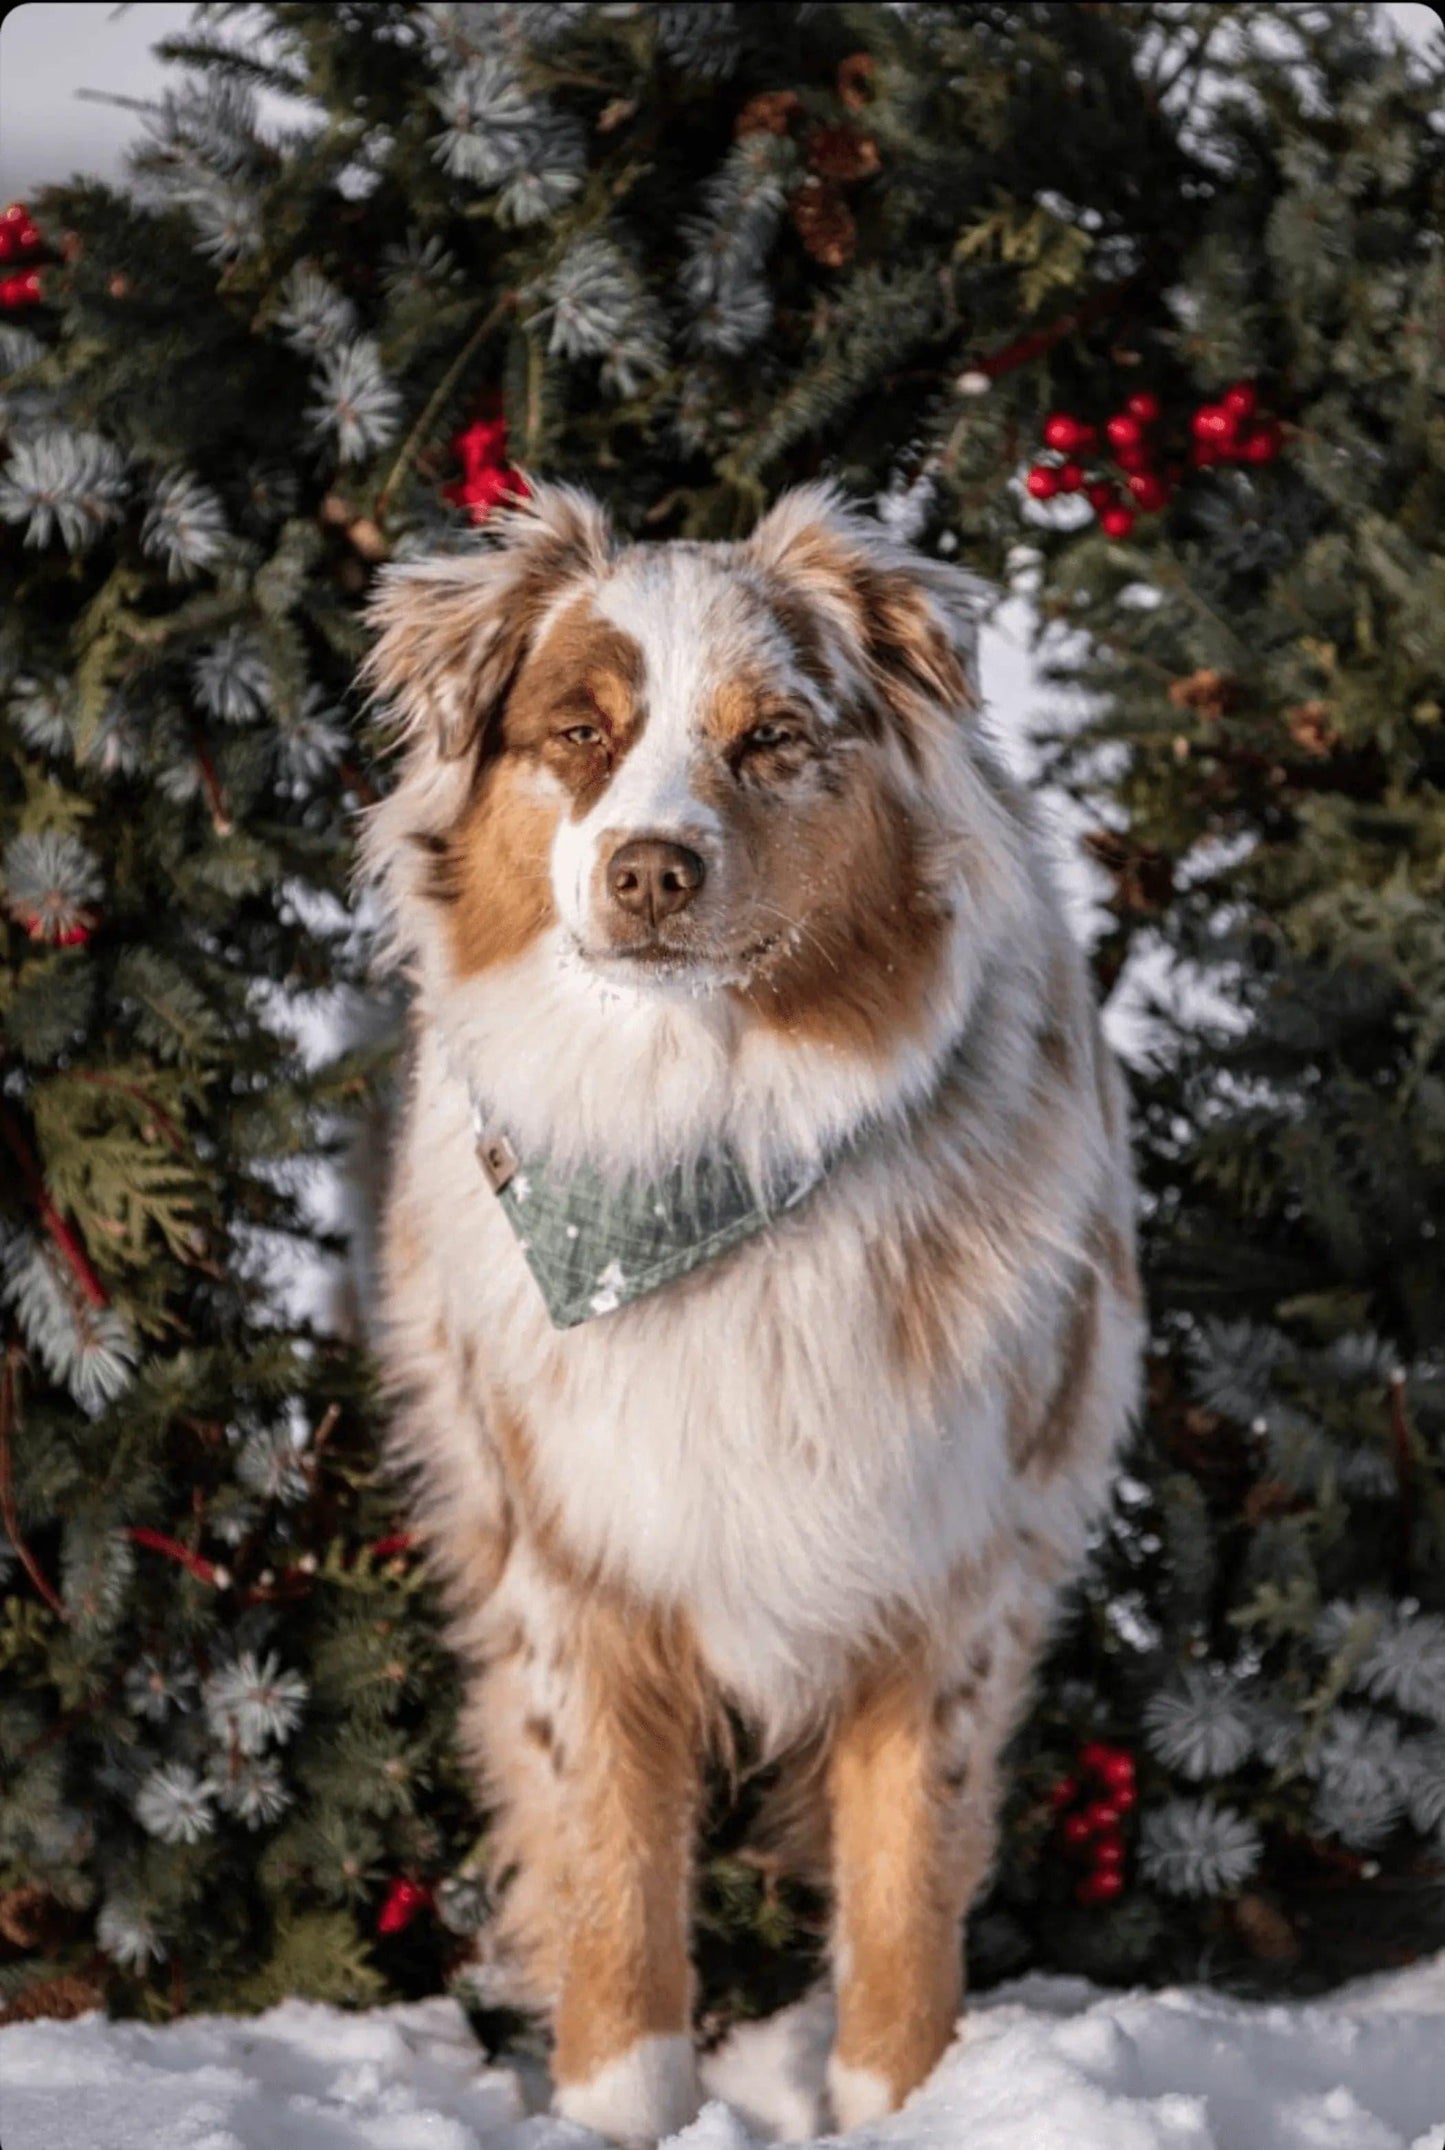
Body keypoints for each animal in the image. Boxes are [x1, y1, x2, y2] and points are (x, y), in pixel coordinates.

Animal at [359, 492, 1143, 2150]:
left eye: (774, 737)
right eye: (578, 733)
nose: (652, 869)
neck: (708, 1132)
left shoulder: (947, 1561)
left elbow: (903, 1890)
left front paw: (903, 2104)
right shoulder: (571, 1557)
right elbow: (612, 1884)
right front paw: (620, 2110)